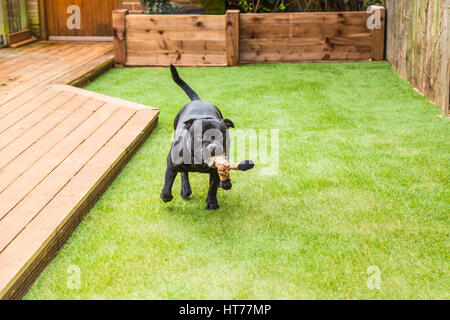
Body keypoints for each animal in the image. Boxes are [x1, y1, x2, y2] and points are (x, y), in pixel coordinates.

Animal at [161, 65, 253, 210]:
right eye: (200, 136)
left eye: (221, 136)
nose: (214, 148)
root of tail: (197, 100)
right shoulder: (171, 164)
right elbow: (167, 184)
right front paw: (166, 196)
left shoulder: (216, 169)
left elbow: (213, 187)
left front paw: (211, 202)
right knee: (184, 173)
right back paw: (185, 189)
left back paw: (224, 183)